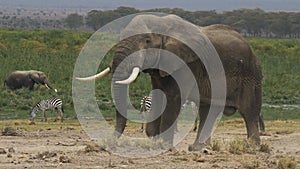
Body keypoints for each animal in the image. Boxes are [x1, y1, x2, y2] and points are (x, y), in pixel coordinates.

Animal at [75, 14, 262, 151]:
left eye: (147, 41)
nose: (105, 144)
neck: (163, 24)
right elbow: (159, 96)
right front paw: (154, 141)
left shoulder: (186, 63)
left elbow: (173, 98)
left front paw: (163, 146)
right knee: (208, 109)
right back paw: (197, 148)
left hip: (251, 74)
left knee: (249, 111)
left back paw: (252, 147)